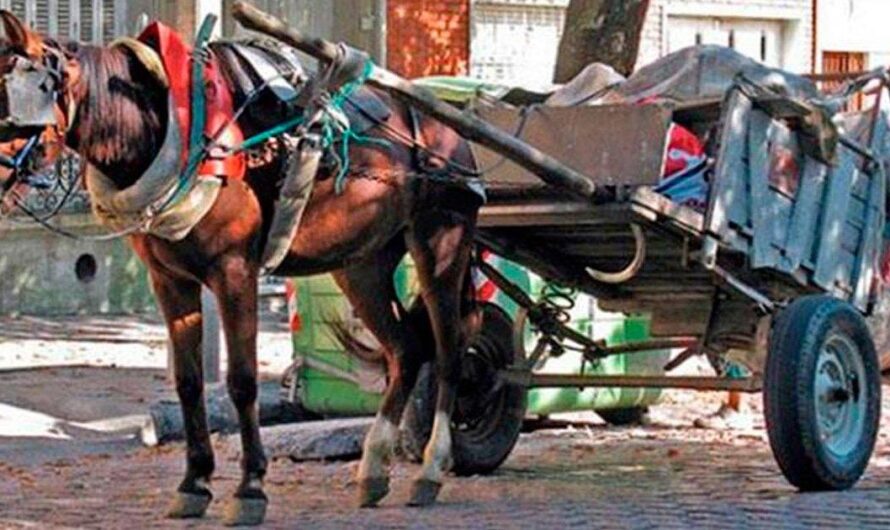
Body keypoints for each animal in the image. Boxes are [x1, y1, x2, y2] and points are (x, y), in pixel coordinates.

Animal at [0, 12, 482, 524]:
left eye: (24, 95)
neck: (176, 130)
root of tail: (447, 128)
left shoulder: (235, 273)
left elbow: (243, 382)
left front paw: (250, 488)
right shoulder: (169, 280)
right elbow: (189, 383)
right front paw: (194, 482)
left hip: (440, 242)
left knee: (449, 351)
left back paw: (430, 470)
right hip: (362, 262)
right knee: (405, 350)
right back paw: (373, 468)